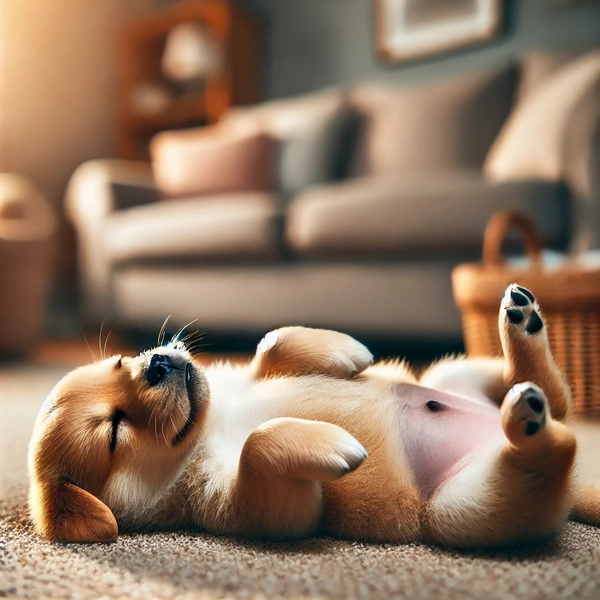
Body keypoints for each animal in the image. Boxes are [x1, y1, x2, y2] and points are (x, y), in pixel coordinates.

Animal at [28, 286, 600, 548]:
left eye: (122, 361)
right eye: (114, 430)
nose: (159, 362)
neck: (215, 418)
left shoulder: (250, 373)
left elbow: (272, 343)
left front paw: (347, 350)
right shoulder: (255, 505)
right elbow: (258, 443)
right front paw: (331, 444)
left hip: (451, 370)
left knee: (558, 398)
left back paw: (522, 324)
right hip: (464, 509)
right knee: (557, 442)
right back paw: (527, 422)